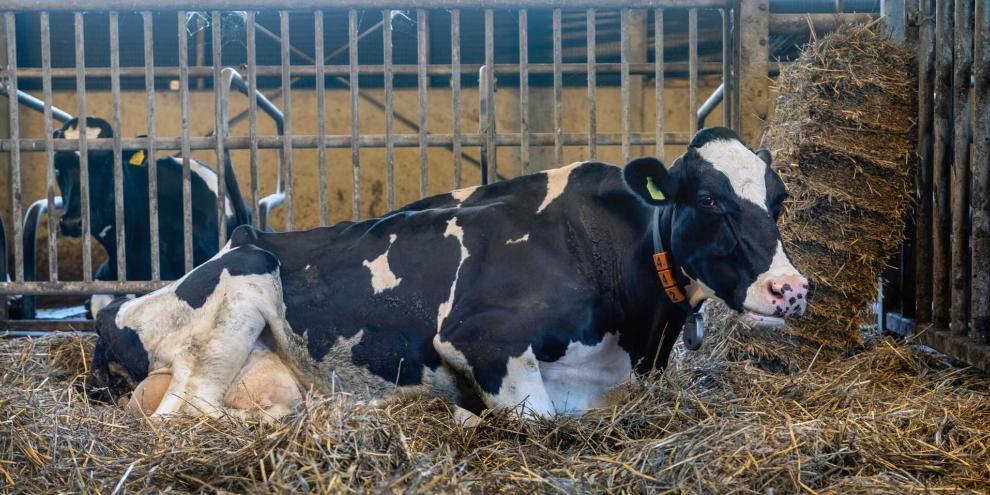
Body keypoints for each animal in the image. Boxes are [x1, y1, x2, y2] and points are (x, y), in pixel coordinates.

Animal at [88, 127, 809, 419]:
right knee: (183, 415)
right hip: (239, 287)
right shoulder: (479, 339)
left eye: (778, 200)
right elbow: (540, 419)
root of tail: (109, 313)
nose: (790, 289)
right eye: (710, 200)